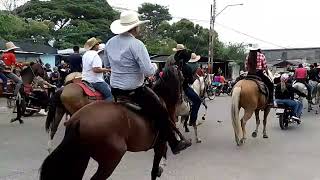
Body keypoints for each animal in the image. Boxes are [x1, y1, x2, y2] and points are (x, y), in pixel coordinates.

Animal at [40, 65, 190, 180]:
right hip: (110, 159)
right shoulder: (160, 144)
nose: (185, 100)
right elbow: (154, 170)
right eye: (183, 77)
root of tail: (78, 120)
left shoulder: (160, 145)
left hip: (80, 154)